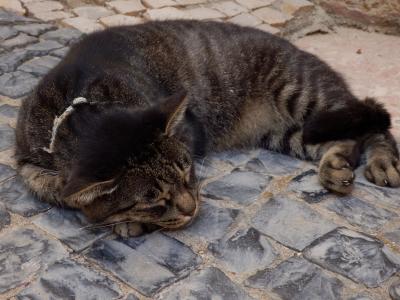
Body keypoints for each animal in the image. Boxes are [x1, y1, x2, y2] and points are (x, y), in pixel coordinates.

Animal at [14, 19, 398, 238]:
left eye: (188, 169)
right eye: (151, 198)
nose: (191, 209)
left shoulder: (189, 133)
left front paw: (129, 221)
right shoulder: (27, 162)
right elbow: (54, 190)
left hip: (308, 96)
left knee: (376, 124)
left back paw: (382, 163)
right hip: (291, 133)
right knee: (347, 141)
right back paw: (335, 167)